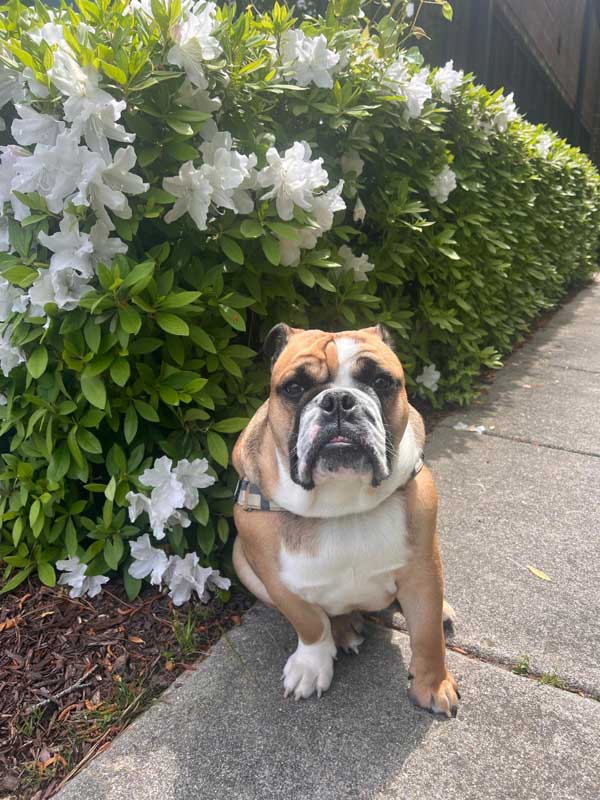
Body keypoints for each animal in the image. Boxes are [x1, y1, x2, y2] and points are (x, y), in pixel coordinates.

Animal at [232, 322, 458, 716]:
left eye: (381, 381)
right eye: (293, 387)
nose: (338, 400)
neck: (341, 502)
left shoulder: (423, 569)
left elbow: (428, 634)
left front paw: (433, 684)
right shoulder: (277, 581)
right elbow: (309, 623)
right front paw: (311, 665)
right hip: (239, 561)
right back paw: (343, 629)